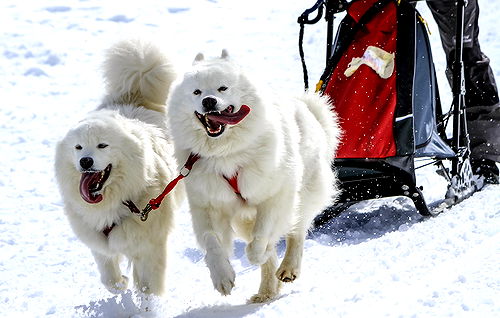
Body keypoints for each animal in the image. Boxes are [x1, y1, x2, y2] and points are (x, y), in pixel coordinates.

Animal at [55, 39, 180, 296]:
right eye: (78, 147)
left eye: (102, 145)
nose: (85, 161)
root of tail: (134, 93)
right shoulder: (98, 242)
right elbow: (109, 278)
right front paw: (121, 283)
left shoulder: (151, 244)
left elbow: (149, 286)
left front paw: (148, 300)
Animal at [167, 51, 340, 302]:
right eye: (196, 92)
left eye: (222, 88)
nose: (208, 101)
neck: (225, 154)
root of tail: (307, 107)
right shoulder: (208, 205)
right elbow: (212, 241)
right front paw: (222, 277)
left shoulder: (275, 195)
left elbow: (262, 235)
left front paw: (258, 252)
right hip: (242, 218)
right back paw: (266, 291)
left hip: (305, 192)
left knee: (297, 231)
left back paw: (288, 268)